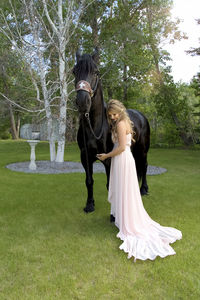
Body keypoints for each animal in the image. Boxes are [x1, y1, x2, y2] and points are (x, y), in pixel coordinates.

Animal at [73, 49, 150, 213]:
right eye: (74, 71)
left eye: (96, 72)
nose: (82, 102)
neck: (95, 127)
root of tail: (141, 115)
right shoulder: (85, 157)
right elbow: (89, 181)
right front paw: (90, 204)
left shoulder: (109, 158)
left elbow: (110, 183)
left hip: (143, 150)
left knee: (145, 165)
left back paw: (144, 189)